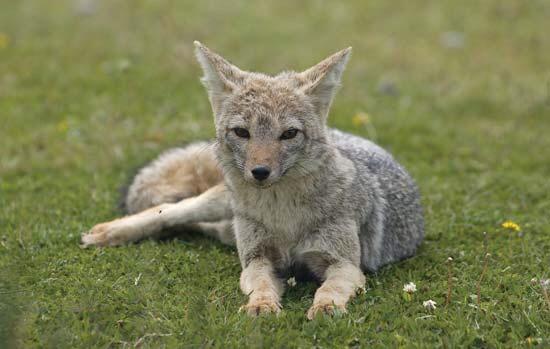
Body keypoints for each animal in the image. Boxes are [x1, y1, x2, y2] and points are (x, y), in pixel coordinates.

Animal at [83, 40, 426, 318]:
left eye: (289, 134)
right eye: (242, 132)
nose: (260, 172)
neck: (284, 216)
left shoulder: (345, 265)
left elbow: (328, 289)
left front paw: (326, 308)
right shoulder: (256, 260)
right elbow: (261, 286)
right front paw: (261, 306)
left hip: (225, 222)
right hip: (216, 204)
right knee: (168, 211)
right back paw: (107, 233)